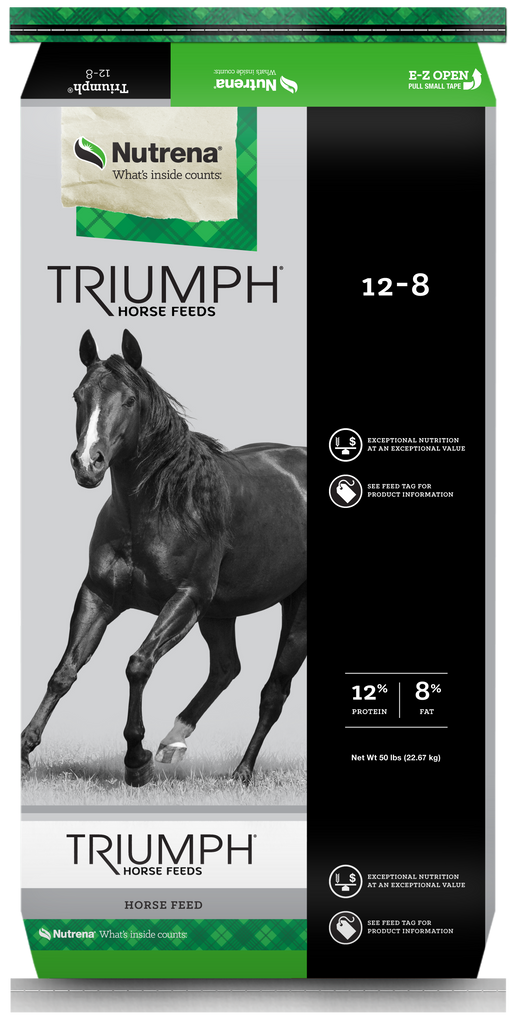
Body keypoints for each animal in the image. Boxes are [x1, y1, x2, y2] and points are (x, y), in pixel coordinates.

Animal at [18, 329, 307, 787]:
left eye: (129, 401)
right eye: (78, 396)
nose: (87, 464)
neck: (163, 505)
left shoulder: (185, 599)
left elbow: (138, 664)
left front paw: (136, 760)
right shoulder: (98, 595)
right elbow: (65, 670)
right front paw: (23, 751)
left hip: (294, 609)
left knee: (273, 691)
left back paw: (240, 772)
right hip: (219, 613)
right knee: (226, 668)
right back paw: (173, 742)